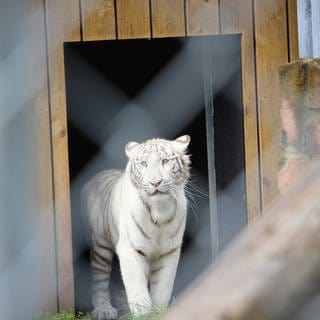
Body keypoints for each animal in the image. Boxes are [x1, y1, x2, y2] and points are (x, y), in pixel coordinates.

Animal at [82, 135, 190, 320]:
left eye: (165, 161)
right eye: (144, 163)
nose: (155, 182)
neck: (160, 211)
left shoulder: (169, 251)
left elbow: (162, 288)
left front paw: (159, 312)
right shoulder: (130, 249)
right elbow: (137, 289)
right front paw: (144, 313)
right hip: (100, 246)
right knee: (99, 278)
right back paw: (104, 309)